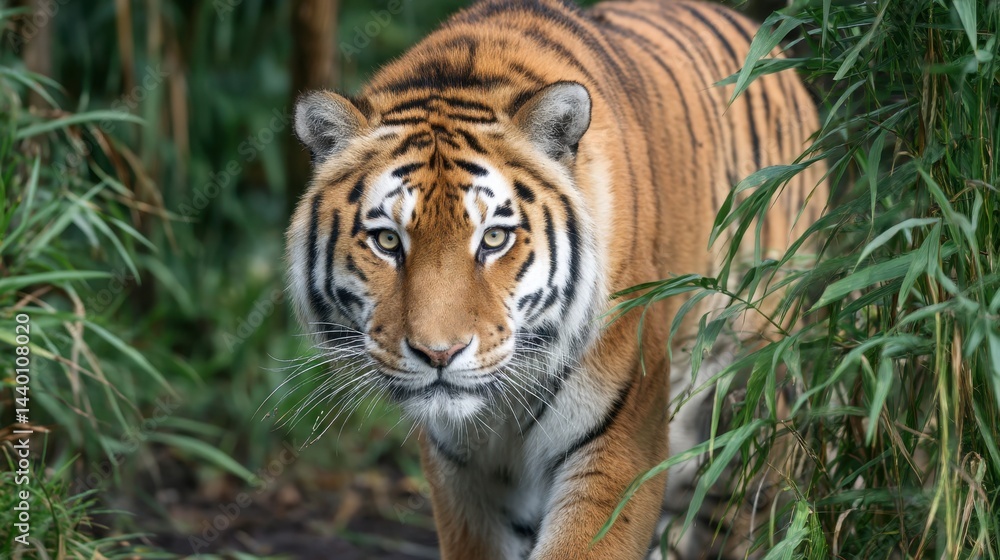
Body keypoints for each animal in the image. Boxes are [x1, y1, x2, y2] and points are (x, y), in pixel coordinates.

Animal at [285, 0, 827, 558]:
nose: (439, 355)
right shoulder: (460, 472)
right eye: (388, 241)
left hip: (756, 394)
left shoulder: (620, 441)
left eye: (494, 238)